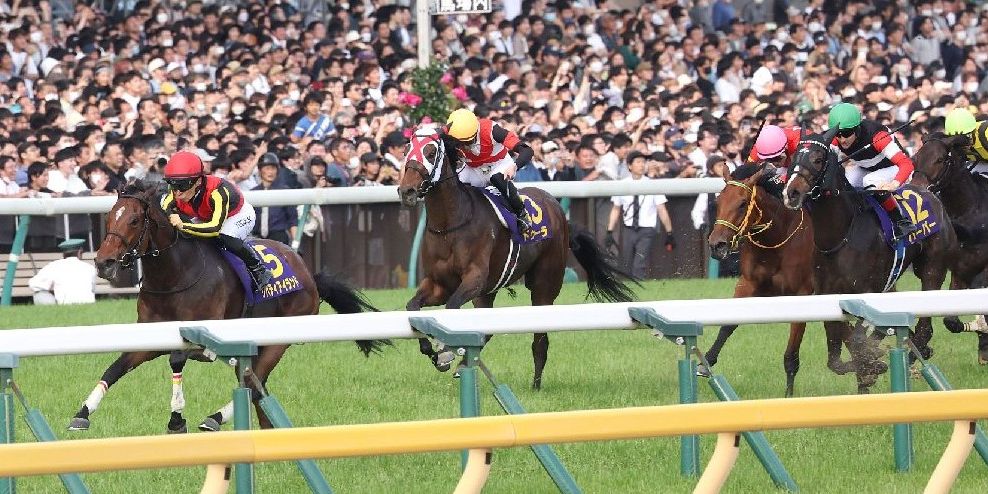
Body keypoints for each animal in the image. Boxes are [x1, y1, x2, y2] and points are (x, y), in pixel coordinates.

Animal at [70, 180, 388, 433]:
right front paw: (82, 413)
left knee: (252, 385)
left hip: (279, 340)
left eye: (135, 220)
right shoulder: (150, 336)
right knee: (257, 387)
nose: (104, 262)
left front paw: (177, 419)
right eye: (109, 218)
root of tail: (308, 272)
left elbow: (179, 358)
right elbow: (115, 368)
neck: (173, 274)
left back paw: (214, 418)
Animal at [397, 125, 637, 389]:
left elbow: (451, 308)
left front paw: (445, 350)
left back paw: (536, 384)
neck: (450, 224)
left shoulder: (473, 279)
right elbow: (412, 307)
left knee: (540, 337)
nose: (407, 191)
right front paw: (433, 351)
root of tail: (555, 206)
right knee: (487, 329)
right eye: (407, 151)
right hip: (488, 291)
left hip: (544, 284)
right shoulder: (439, 284)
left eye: (431, 153)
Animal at [704, 164, 815, 397]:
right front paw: (706, 360)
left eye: (742, 203)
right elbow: (728, 324)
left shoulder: (802, 293)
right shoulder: (748, 284)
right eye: (718, 201)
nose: (716, 245)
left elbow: (791, 354)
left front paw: (788, 396)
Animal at [783, 128, 956, 393]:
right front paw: (869, 368)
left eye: (818, 159)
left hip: (932, 270)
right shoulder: (828, 295)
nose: (791, 193)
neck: (841, 234)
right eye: (793, 158)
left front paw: (873, 365)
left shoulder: (867, 290)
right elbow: (838, 354)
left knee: (924, 328)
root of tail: (928, 192)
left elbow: (857, 341)